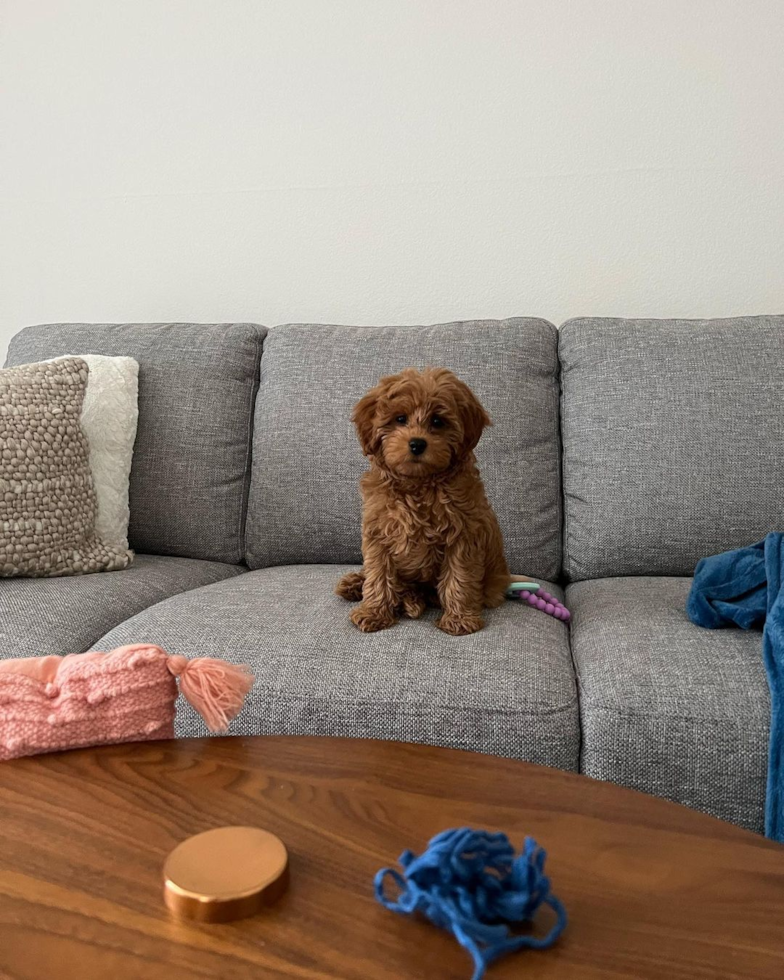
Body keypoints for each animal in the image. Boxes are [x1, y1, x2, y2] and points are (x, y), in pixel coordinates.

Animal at [336, 368, 508, 636]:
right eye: (400, 418)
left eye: (437, 421)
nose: (417, 443)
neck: (417, 485)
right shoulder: (377, 531)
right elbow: (378, 574)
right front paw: (373, 612)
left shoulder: (463, 534)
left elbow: (459, 577)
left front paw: (459, 619)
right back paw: (356, 584)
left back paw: (411, 600)